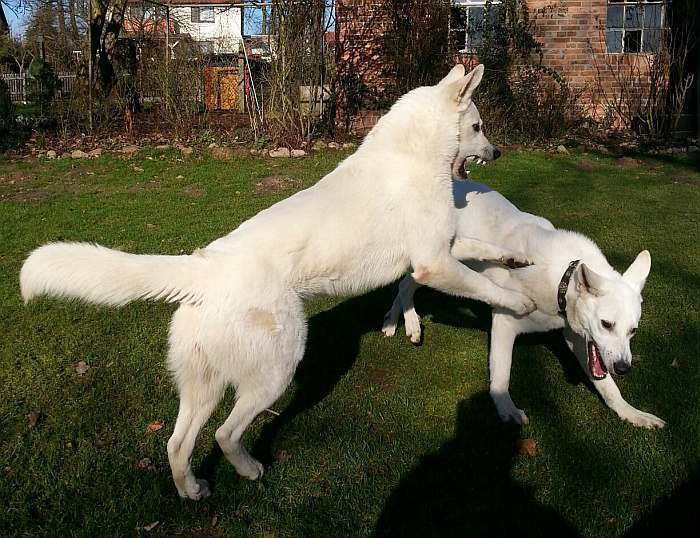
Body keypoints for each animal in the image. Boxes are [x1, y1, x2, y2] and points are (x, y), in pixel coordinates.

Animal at [20, 63, 536, 498]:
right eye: (478, 127)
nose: (498, 152)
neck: (410, 157)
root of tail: (203, 268)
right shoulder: (434, 262)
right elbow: (485, 286)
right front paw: (520, 303)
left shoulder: (442, 250)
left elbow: (481, 251)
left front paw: (515, 258)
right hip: (278, 367)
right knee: (225, 434)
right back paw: (249, 469)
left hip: (203, 386)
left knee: (176, 443)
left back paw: (191, 490)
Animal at [386, 178, 664, 430]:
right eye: (606, 324)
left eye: (633, 331)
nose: (623, 368)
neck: (561, 280)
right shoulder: (505, 323)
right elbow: (501, 375)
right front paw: (506, 409)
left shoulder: (577, 338)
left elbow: (608, 388)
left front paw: (632, 414)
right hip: (434, 261)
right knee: (404, 286)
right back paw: (406, 322)